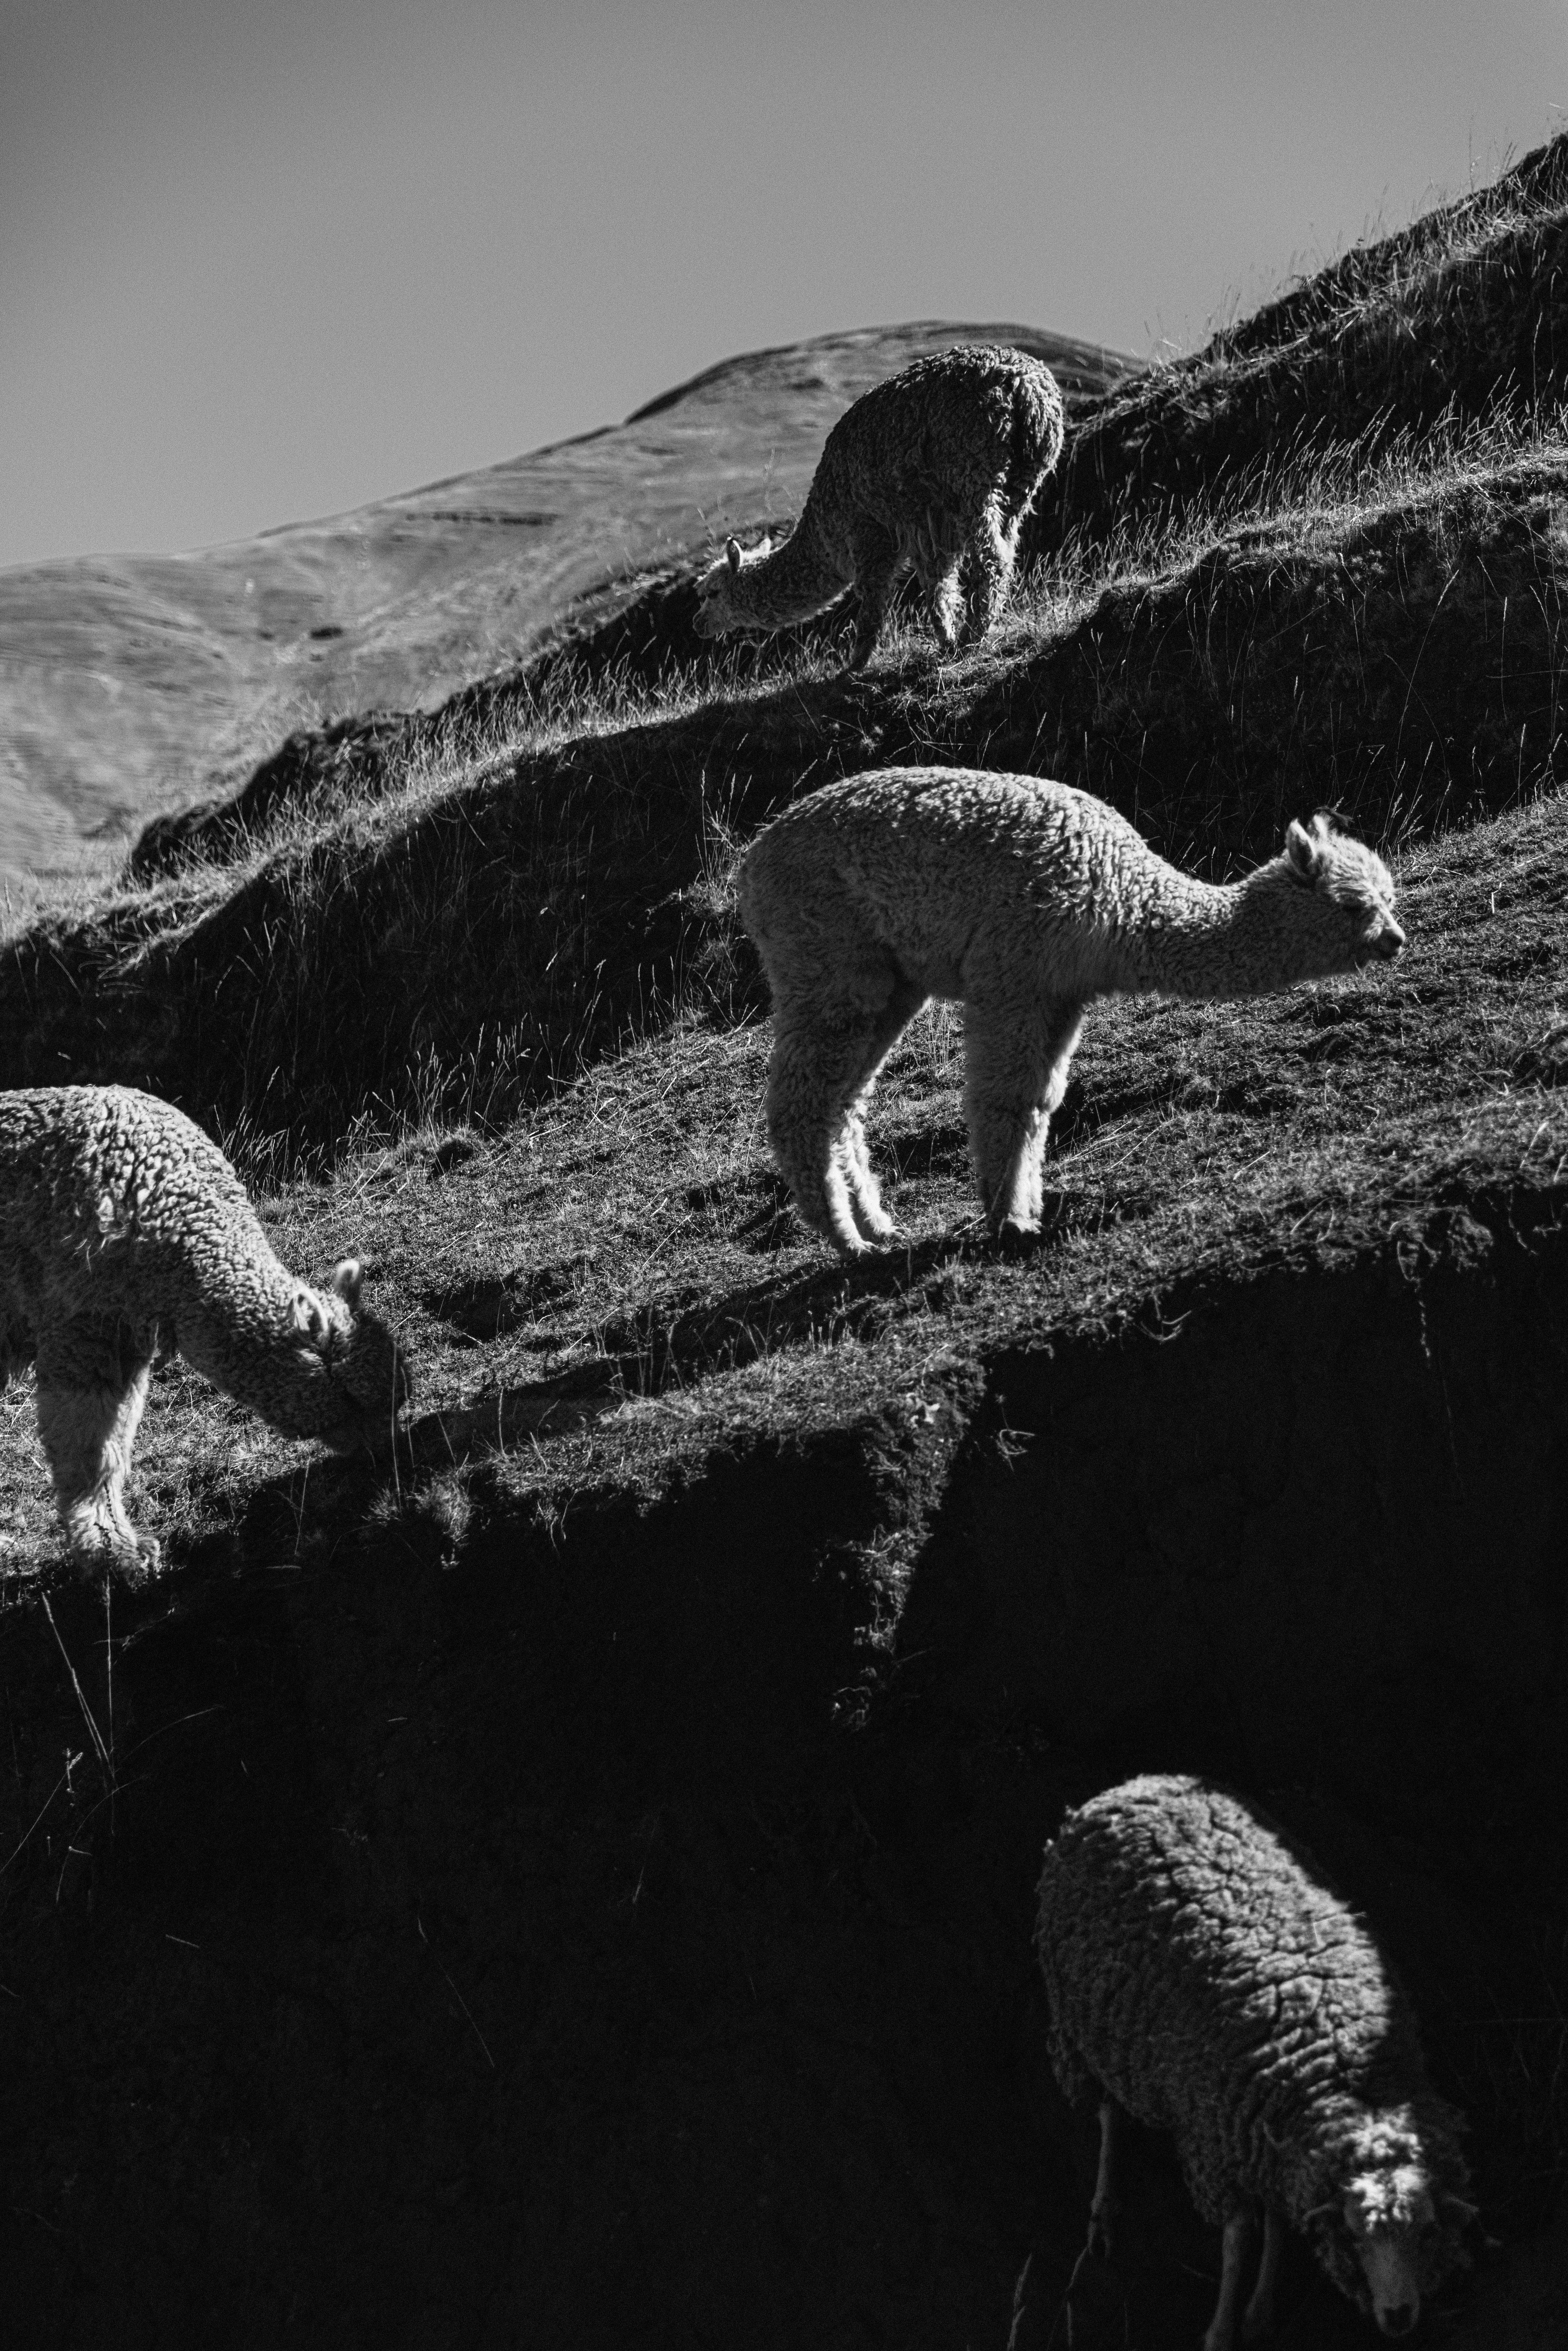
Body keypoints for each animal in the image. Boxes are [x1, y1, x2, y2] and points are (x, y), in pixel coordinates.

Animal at [0, 1086, 410, 1585]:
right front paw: (110, 1552)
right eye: (352, 1398)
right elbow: (89, 1448)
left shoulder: (127, 1333)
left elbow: (112, 1441)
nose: (386, 1454)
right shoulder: (81, 1321)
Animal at [692, 344, 1065, 670]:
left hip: (972, 474)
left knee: (992, 560)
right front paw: (945, 643)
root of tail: (1024, 384)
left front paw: (853, 667)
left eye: (711, 593)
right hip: (1020, 481)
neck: (825, 535)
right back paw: (970, 635)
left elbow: (872, 602)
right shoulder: (927, 528)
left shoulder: (869, 531)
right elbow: (938, 587)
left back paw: (972, 638)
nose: (697, 624)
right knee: (1006, 547)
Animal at [735, 766, 1405, 1256]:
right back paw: (848, 1243)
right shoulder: (1011, 977)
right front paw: (1006, 1222)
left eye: (1389, 897)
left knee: (845, 1102)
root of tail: (749, 861)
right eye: (1352, 906)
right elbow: (1000, 1100)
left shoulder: (1061, 997)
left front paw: (1028, 1211)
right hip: (826, 963)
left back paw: (877, 1226)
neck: (1119, 904)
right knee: (801, 1103)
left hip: (890, 985)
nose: (1395, 940)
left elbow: (1039, 1102)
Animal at [1035, 1774, 1472, 2349]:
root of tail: (1133, 1786)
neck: (1349, 2078)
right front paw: (1222, 2328)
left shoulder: (1272, 2139)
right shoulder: (1216, 2140)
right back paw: (1104, 2208)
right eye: (1355, 2236)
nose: (1398, 2316)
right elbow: (1238, 2242)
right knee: (1108, 2111)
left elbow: (1279, 2222)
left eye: (1424, 2232)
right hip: (1086, 2023)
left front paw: (1261, 2310)